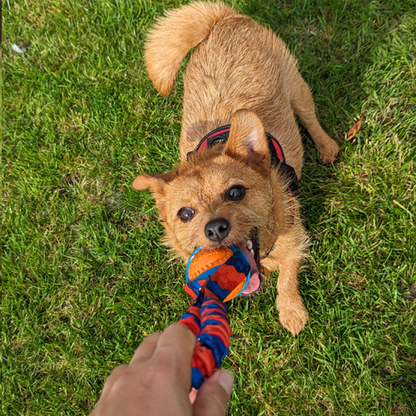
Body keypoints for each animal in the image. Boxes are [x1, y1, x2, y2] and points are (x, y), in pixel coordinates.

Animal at [135, 1, 340, 334]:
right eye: (185, 214)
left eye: (235, 192)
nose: (215, 228)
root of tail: (224, 18)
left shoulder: (295, 238)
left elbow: (288, 276)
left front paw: (291, 310)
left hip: (296, 86)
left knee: (310, 118)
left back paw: (326, 146)